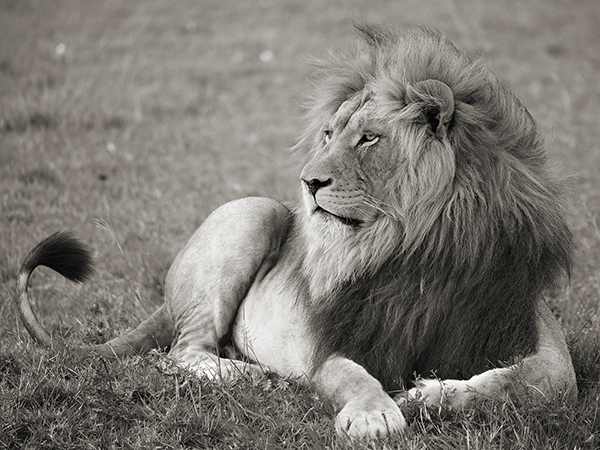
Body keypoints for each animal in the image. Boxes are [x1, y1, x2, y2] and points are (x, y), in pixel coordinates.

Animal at [15, 25, 576, 440]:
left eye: (369, 138)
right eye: (328, 134)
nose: (308, 182)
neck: (416, 246)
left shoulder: (519, 321)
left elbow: (536, 381)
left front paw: (430, 395)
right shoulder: (336, 342)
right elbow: (352, 375)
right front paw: (375, 414)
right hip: (254, 211)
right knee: (179, 352)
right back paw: (249, 375)